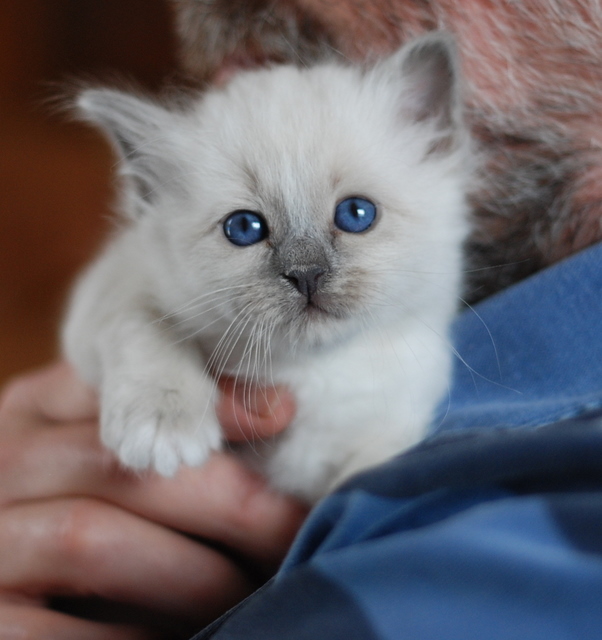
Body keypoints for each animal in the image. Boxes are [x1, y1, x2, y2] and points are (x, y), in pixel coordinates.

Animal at [63, 33, 472, 504]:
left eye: (356, 214)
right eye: (244, 227)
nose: (306, 273)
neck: (308, 375)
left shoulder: (389, 425)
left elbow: (358, 481)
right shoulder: (113, 287)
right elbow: (146, 325)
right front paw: (161, 425)